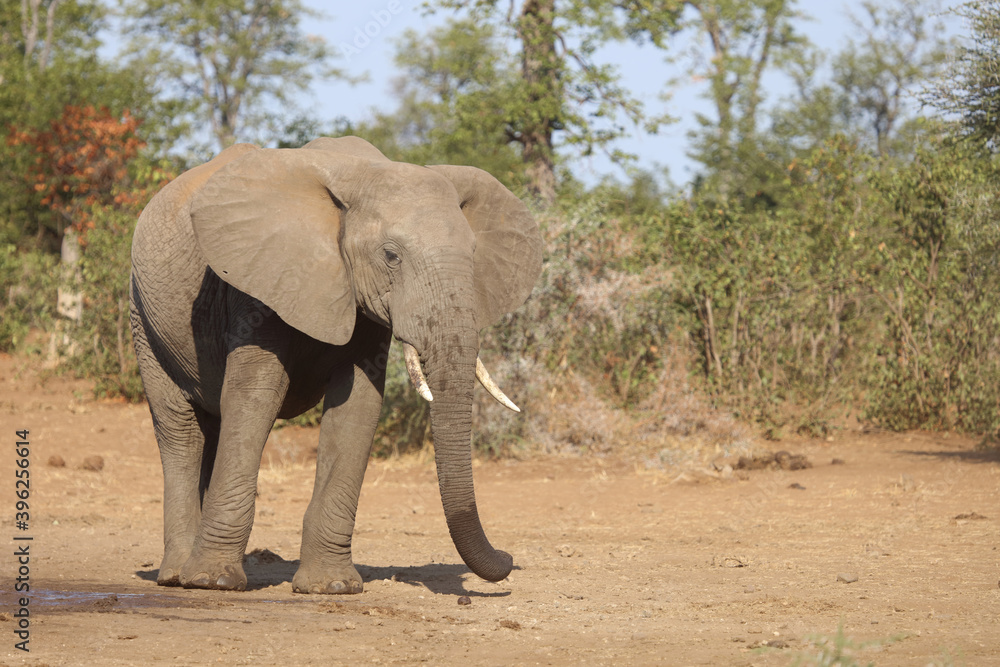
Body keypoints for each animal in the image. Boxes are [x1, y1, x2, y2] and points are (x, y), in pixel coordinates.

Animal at [132, 136, 544, 596]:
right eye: (391, 256)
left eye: (473, 254)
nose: (508, 559)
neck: (362, 174)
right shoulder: (259, 282)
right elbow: (256, 396)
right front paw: (213, 582)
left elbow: (357, 406)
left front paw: (332, 587)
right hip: (144, 317)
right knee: (180, 430)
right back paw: (177, 576)